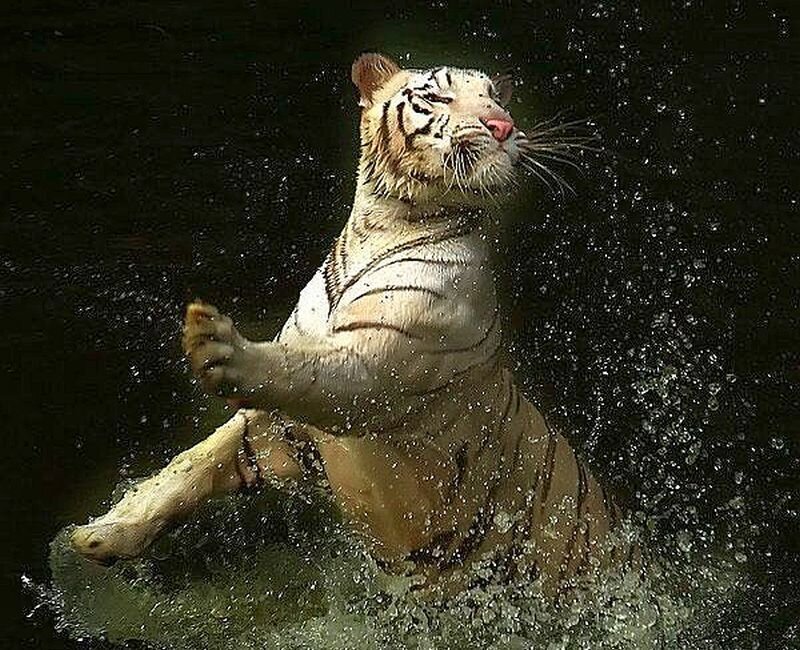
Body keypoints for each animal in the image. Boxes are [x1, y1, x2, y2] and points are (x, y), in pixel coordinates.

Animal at [70, 53, 629, 595]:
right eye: (439, 96)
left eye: (495, 98)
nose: (503, 125)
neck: (384, 225)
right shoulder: (281, 429)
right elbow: (200, 459)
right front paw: (103, 533)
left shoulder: (379, 369)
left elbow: (302, 372)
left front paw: (217, 343)